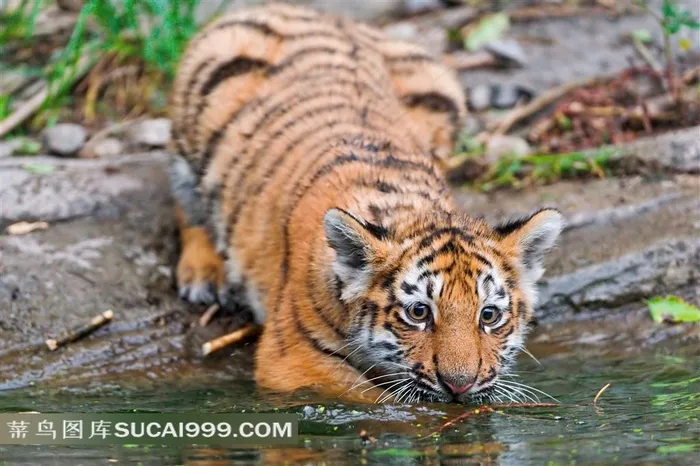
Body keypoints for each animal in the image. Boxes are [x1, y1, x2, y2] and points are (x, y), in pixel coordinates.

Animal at [168, 3, 564, 403]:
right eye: (419, 312)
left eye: (489, 315)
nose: (459, 385)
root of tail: (325, 16)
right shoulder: (291, 356)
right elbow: (376, 400)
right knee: (185, 198)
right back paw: (205, 275)